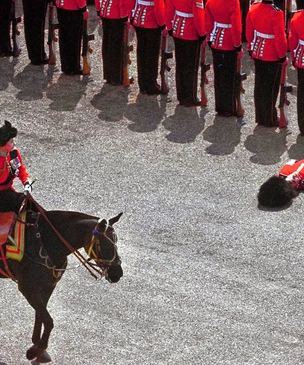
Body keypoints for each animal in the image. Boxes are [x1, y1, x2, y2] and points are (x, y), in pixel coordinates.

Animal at [0, 199, 123, 364]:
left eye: (116, 242)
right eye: (104, 243)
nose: (118, 274)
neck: (46, 241)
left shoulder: (47, 287)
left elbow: (41, 315)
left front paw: (38, 347)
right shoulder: (28, 288)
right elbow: (48, 320)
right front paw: (36, 350)